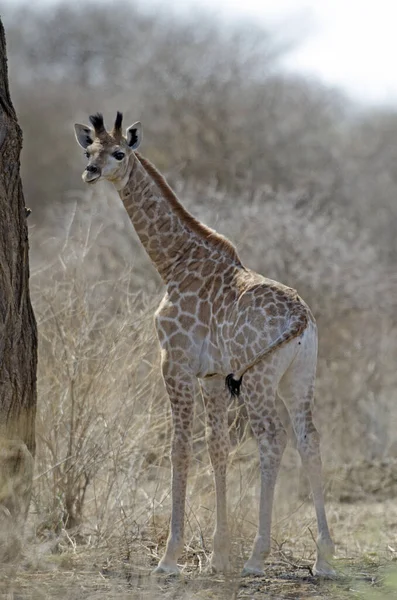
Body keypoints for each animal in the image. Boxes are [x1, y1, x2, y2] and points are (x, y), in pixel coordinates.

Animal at [74, 111, 334, 576]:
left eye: (118, 153)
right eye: (89, 149)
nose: (90, 171)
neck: (173, 262)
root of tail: (302, 318)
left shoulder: (173, 361)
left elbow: (179, 447)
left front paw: (169, 558)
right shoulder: (213, 374)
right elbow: (216, 448)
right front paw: (218, 555)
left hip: (259, 379)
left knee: (272, 439)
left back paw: (258, 557)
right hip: (298, 376)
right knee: (309, 439)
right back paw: (323, 558)